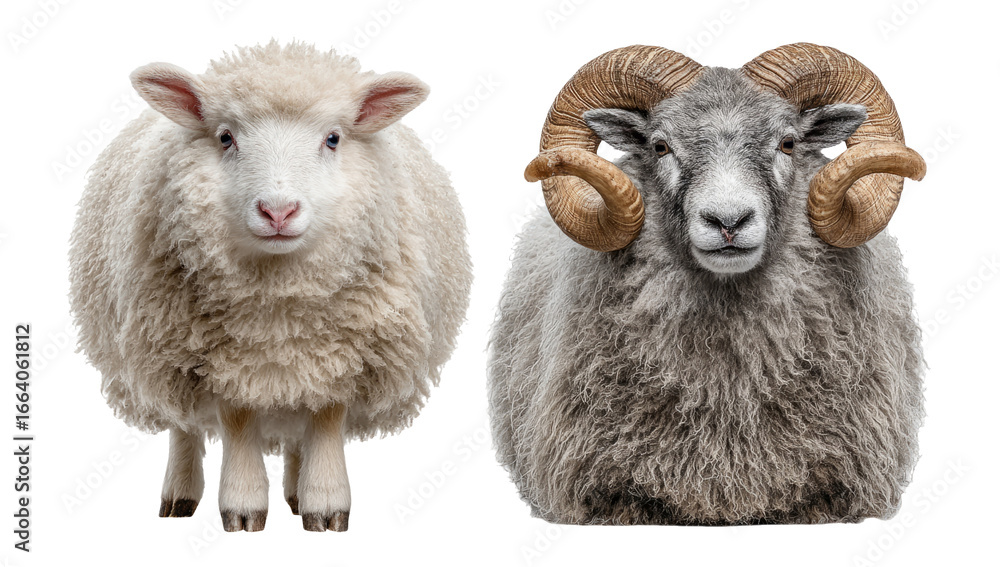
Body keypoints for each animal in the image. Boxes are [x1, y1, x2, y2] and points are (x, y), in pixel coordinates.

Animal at [69, 41, 472, 532]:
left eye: (333, 138)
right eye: (226, 137)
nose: (278, 211)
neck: (279, 305)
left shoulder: (345, 353)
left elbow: (326, 419)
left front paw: (325, 506)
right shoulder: (220, 360)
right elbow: (237, 421)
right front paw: (243, 508)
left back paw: (296, 494)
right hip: (164, 349)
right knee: (183, 426)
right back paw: (179, 497)